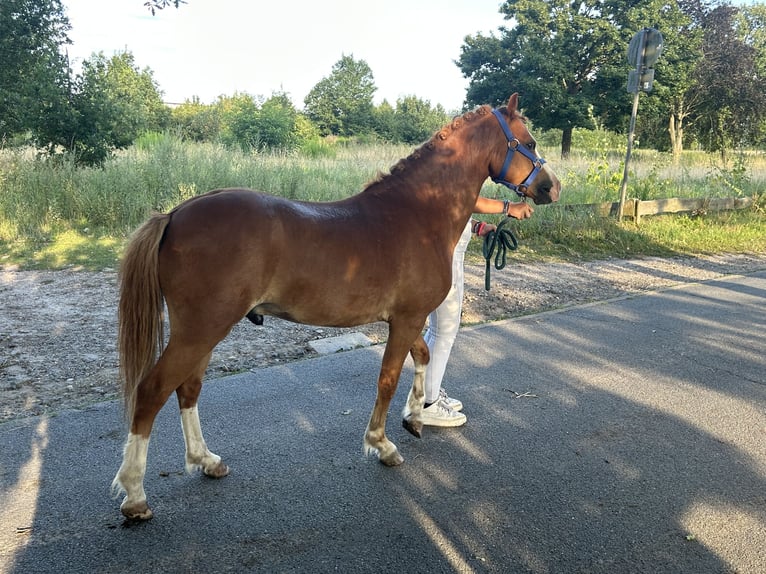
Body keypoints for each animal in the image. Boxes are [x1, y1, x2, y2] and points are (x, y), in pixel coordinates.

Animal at [111, 92, 561, 520]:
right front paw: (381, 444)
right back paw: (135, 495)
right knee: (152, 391)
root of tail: (174, 215)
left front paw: (416, 417)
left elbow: (423, 356)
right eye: (529, 142)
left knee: (187, 389)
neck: (417, 213)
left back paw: (205, 460)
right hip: (201, 329)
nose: (552, 187)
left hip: (205, 332)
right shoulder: (407, 319)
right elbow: (388, 378)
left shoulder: (407, 320)